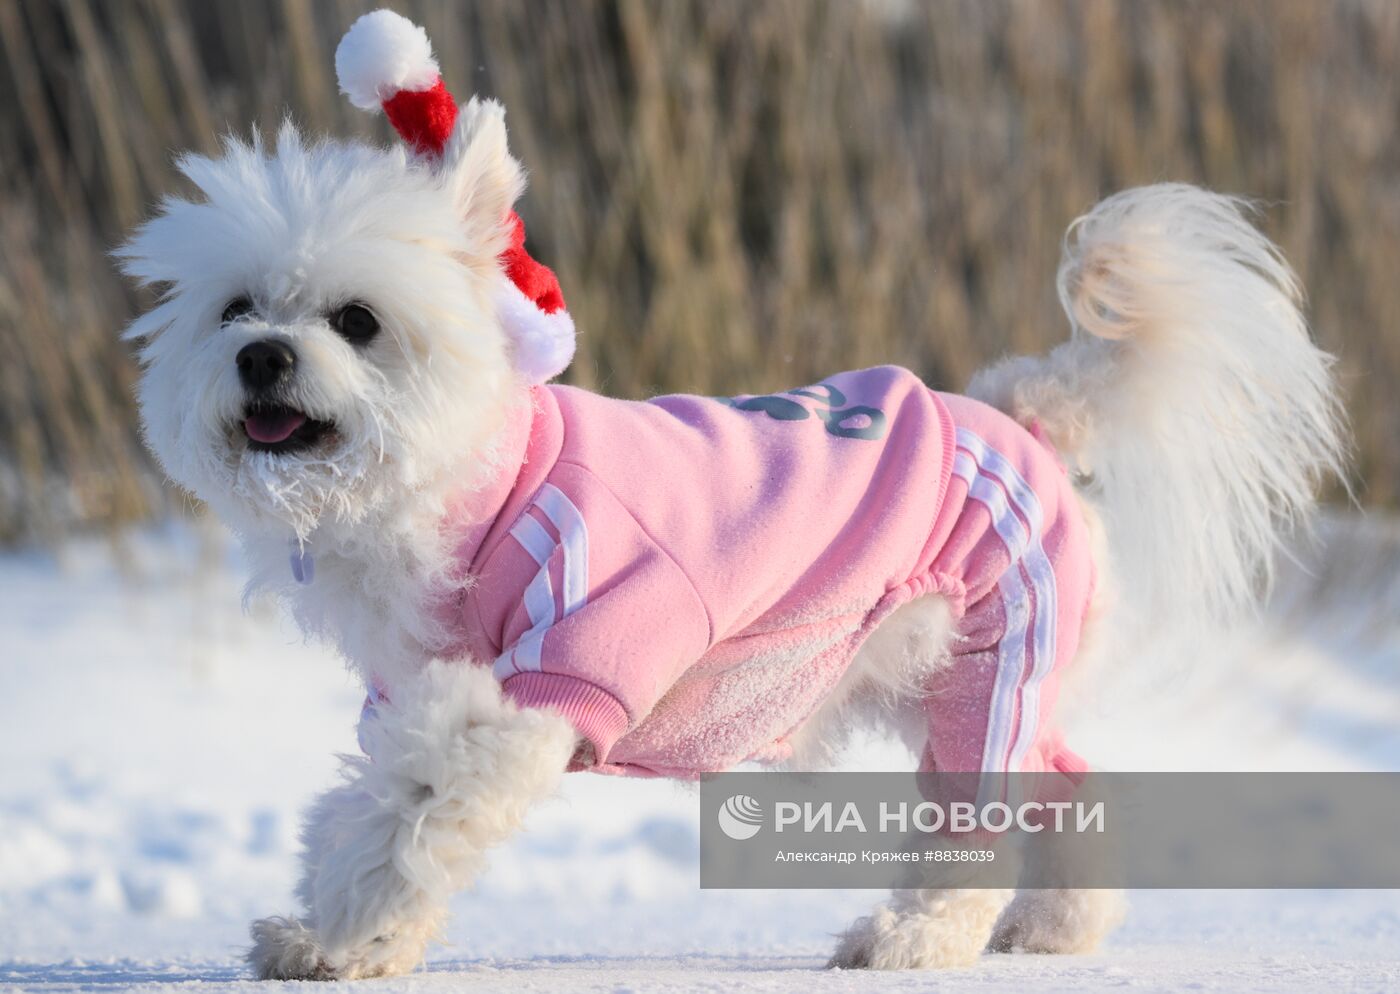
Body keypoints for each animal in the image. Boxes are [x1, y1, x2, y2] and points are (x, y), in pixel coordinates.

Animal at [117, 11, 1344, 985]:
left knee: (979, 819)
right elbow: (367, 801)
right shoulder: (405, 689)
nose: (264, 358)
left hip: (986, 661)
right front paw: (332, 939)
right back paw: (1055, 926)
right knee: (1071, 784)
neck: (480, 489)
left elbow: (407, 812)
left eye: (358, 320)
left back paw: (911, 941)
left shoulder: (550, 684)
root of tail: (1022, 412)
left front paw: (345, 934)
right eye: (234, 310)